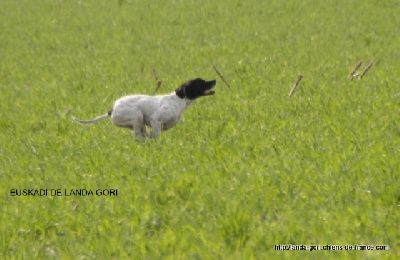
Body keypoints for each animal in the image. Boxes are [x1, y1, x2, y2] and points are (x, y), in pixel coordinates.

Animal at [72, 77, 216, 140]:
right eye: (202, 82)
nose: (214, 80)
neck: (179, 99)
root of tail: (112, 110)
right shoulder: (155, 119)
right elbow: (156, 135)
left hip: (138, 122)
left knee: (141, 134)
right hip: (137, 116)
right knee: (138, 136)